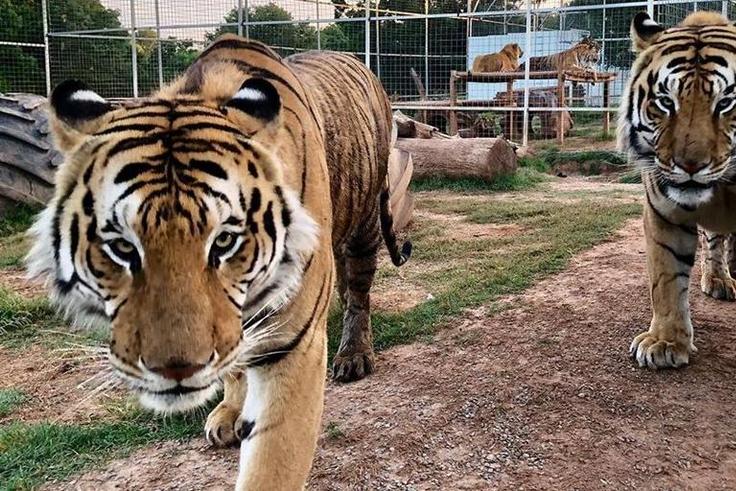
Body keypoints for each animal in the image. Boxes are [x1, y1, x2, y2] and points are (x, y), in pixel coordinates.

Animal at [26, 35, 411, 489]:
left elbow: (271, 465)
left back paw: (353, 355)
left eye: (224, 240)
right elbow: (232, 365)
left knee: (358, 291)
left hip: (365, 219)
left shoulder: (292, 345)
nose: (174, 369)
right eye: (122, 247)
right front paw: (228, 411)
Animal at [617, 11, 736, 370]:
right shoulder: (663, 212)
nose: (690, 165)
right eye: (666, 102)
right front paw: (665, 343)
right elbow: (666, 278)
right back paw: (718, 280)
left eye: (726, 102)